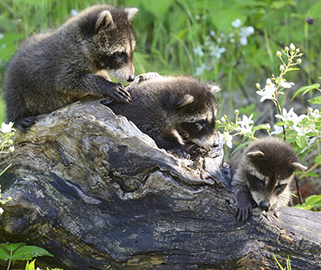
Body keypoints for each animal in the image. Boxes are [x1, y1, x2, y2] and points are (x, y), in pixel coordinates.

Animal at [3, 3, 138, 131]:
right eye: (120, 53)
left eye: (131, 51)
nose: (131, 78)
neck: (81, 42)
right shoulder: (66, 61)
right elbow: (66, 82)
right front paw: (106, 84)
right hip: (15, 82)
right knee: (14, 99)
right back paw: (18, 117)